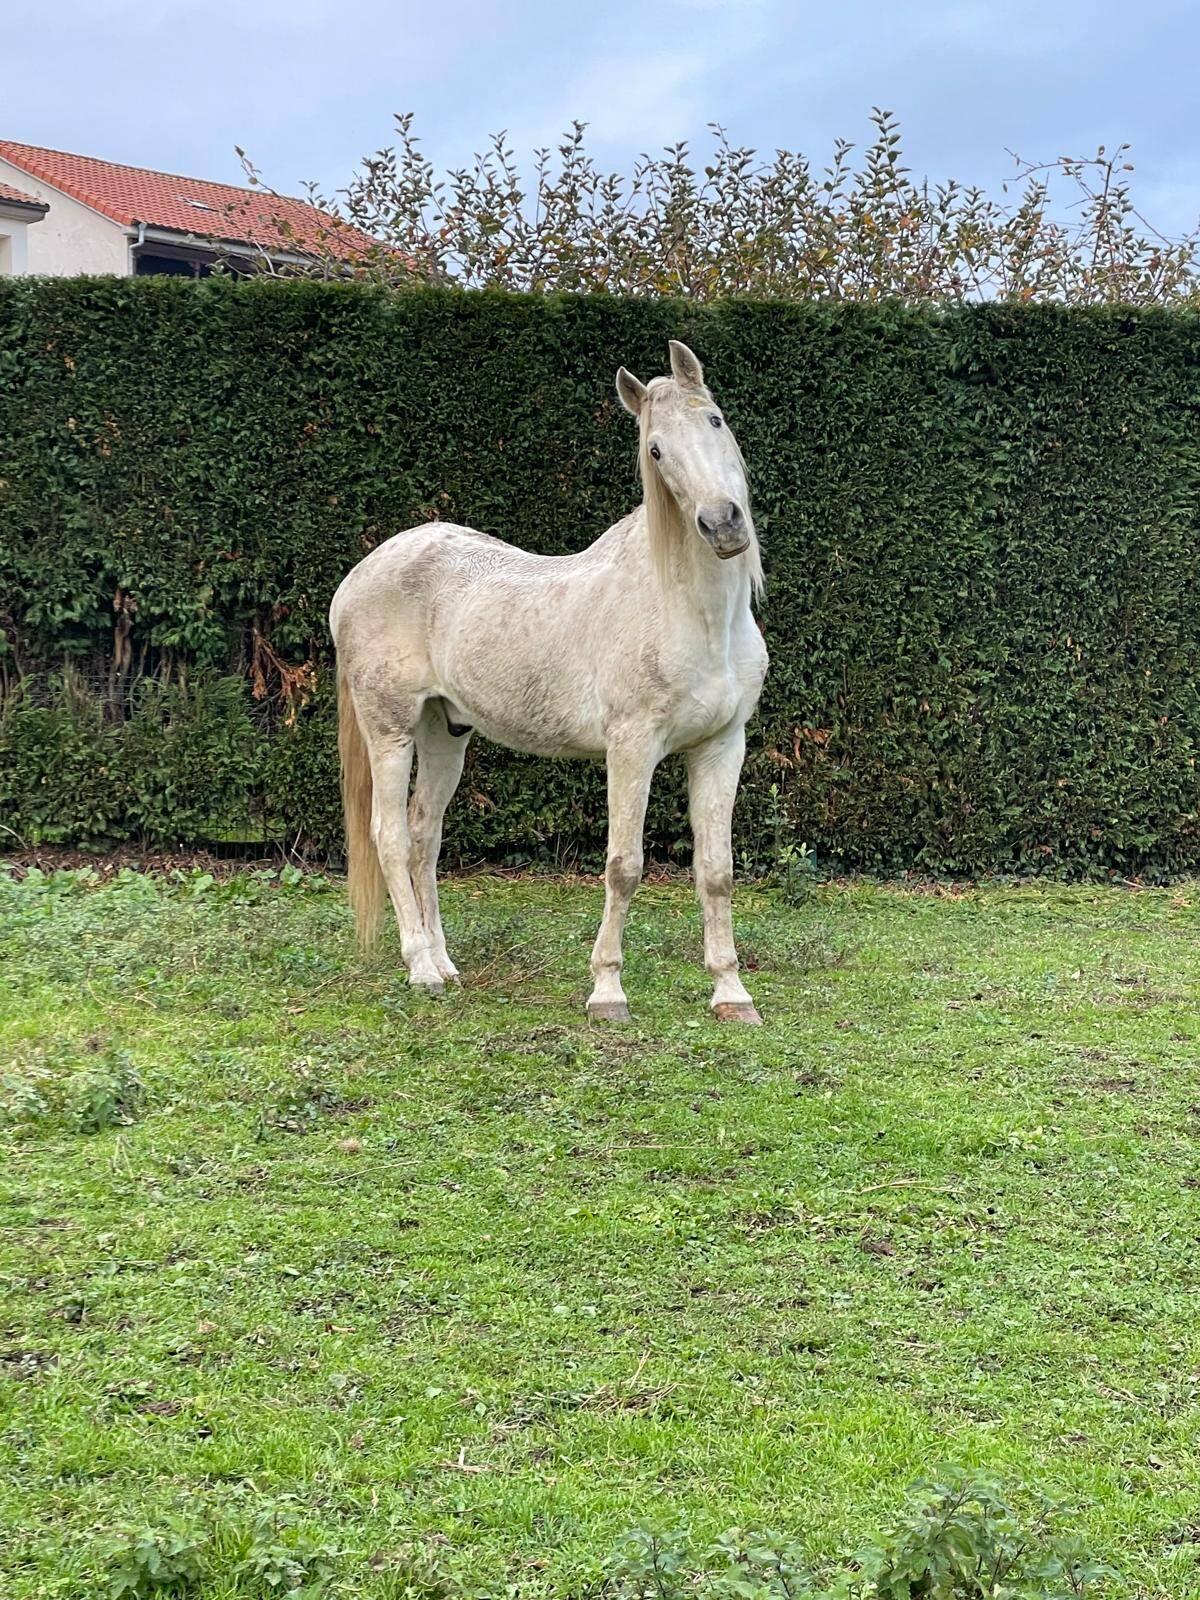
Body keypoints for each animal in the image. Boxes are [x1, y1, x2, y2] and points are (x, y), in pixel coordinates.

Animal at [330, 339, 768, 1023]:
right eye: (655, 451)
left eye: (716, 420)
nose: (722, 524)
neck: (693, 614)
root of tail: (358, 577)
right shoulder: (631, 748)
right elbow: (624, 866)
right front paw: (607, 992)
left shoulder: (722, 747)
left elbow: (717, 871)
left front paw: (731, 993)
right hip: (391, 731)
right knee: (393, 837)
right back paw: (422, 968)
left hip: (444, 734)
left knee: (426, 835)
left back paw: (446, 963)